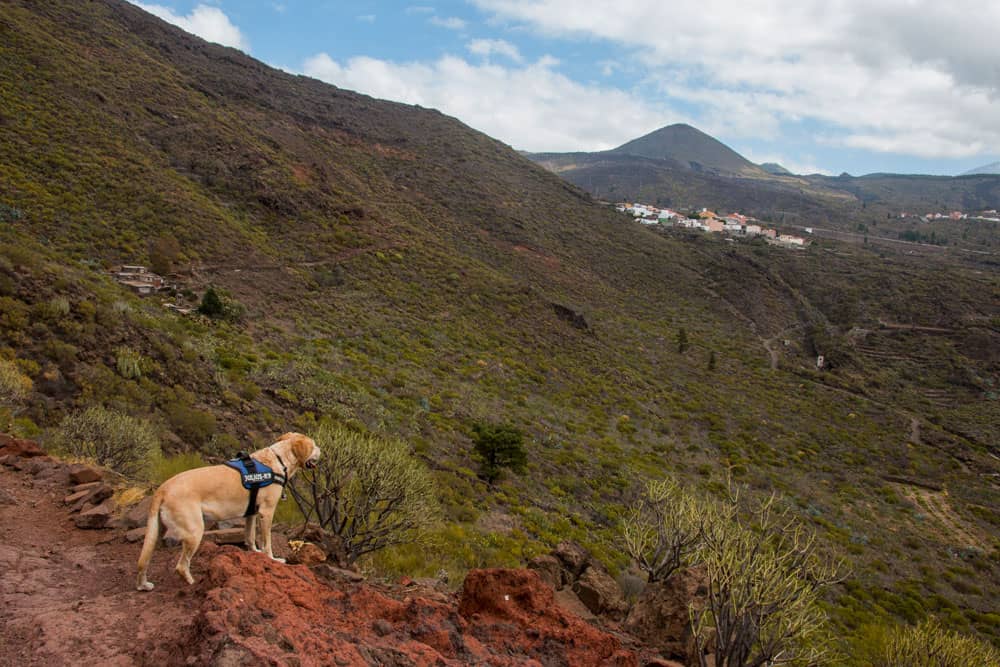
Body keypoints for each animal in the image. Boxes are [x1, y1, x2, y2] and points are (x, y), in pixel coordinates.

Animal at [135, 430, 318, 592]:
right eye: (314, 445)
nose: (321, 450)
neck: (279, 459)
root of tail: (163, 489)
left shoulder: (252, 513)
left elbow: (250, 537)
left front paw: (255, 552)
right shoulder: (266, 512)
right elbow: (267, 543)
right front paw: (273, 559)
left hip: (155, 531)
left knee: (143, 561)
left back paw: (143, 585)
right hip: (194, 530)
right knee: (180, 566)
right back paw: (192, 583)